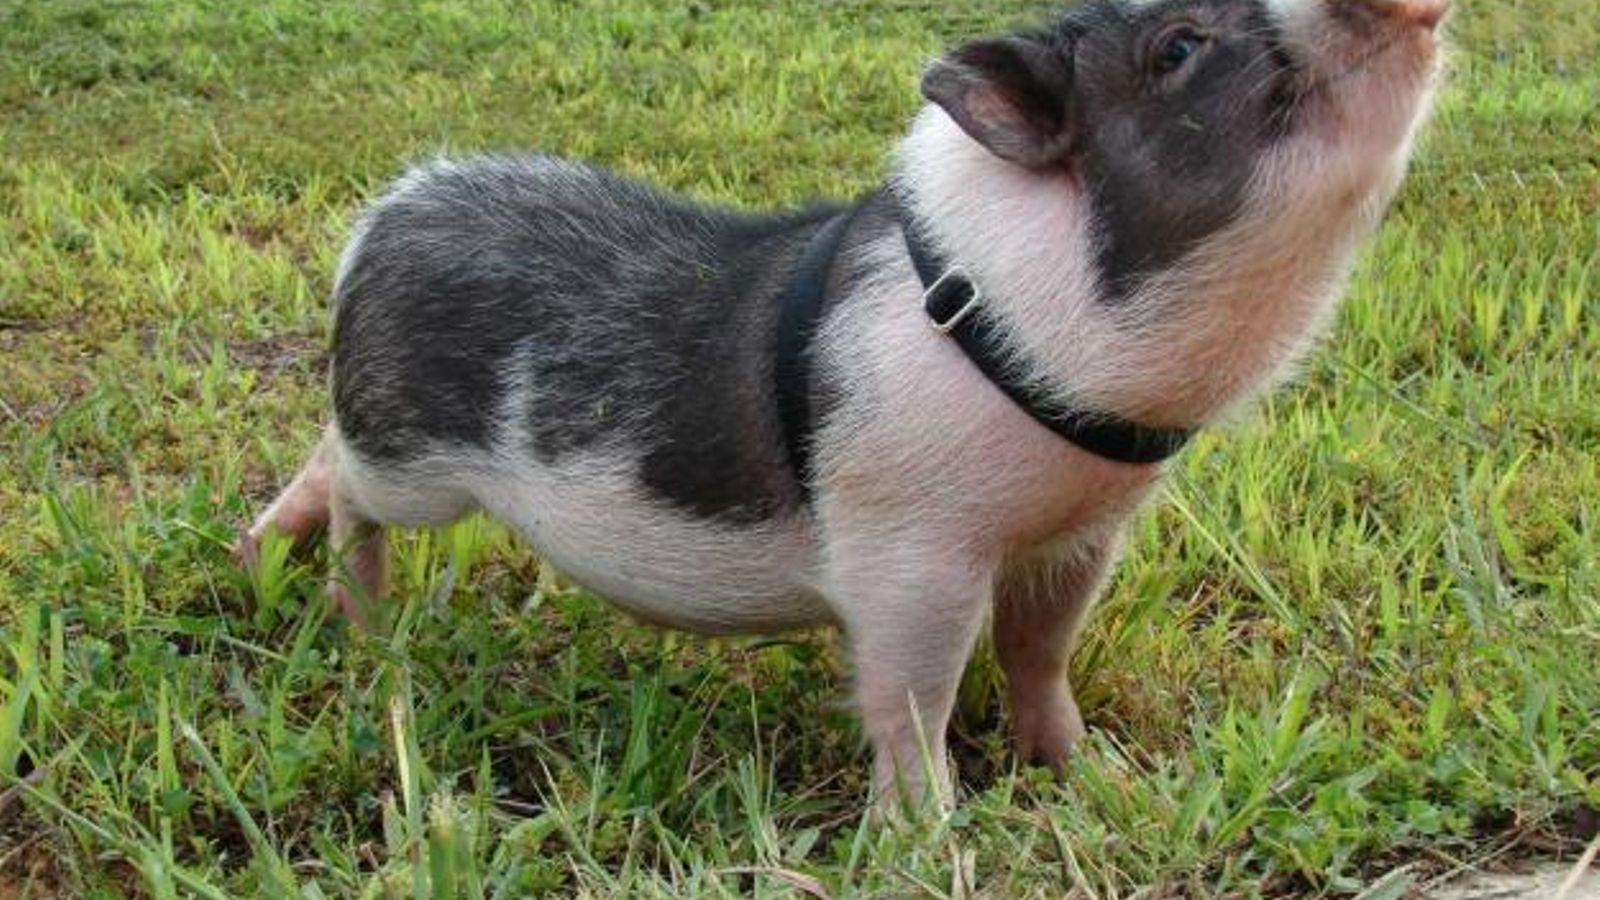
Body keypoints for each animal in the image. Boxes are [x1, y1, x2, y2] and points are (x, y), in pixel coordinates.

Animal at [240, 0, 1448, 810]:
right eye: (1179, 48)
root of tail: (385, 215)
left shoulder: (1080, 535)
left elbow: (1041, 654)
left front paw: (1096, 776)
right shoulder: (911, 548)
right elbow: (912, 696)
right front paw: (932, 835)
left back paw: (269, 567)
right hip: (413, 464)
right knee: (347, 487)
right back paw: (358, 623)